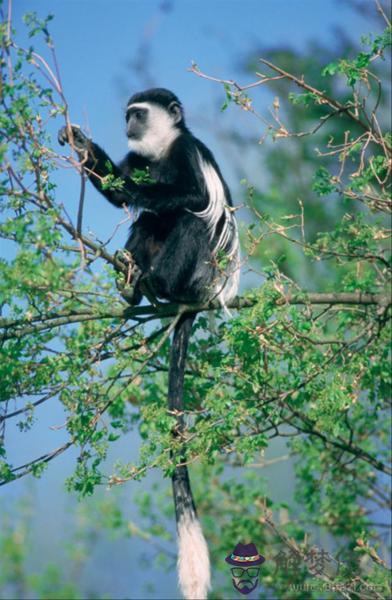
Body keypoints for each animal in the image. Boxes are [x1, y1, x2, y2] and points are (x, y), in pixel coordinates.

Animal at [58, 86, 240, 596]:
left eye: (138, 114)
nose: (128, 125)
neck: (157, 152)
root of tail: (203, 296)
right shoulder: (136, 157)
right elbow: (118, 192)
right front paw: (80, 144)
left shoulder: (185, 153)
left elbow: (191, 197)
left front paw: (140, 190)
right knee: (145, 226)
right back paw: (132, 281)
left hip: (201, 270)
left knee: (190, 219)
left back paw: (161, 282)